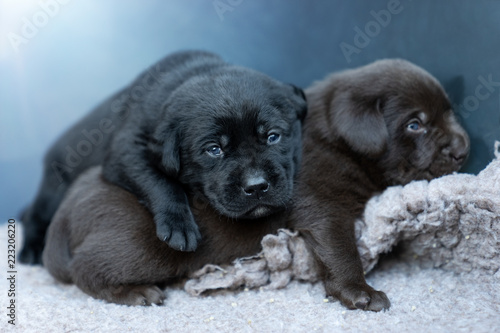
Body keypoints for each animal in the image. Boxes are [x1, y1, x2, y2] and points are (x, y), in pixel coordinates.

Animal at [19, 50, 306, 262]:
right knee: (33, 215)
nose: (257, 186)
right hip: (54, 189)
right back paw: (31, 250)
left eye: (273, 136)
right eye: (214, 149)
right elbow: (159, 182)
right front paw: (178, 225)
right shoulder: (126, 150)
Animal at [292, 57, 470, 312]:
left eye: (448, 114)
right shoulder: (321, 200)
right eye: (414, 125)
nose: (463, 151)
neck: (344, 149)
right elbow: (341, 247)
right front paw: (358, 289)